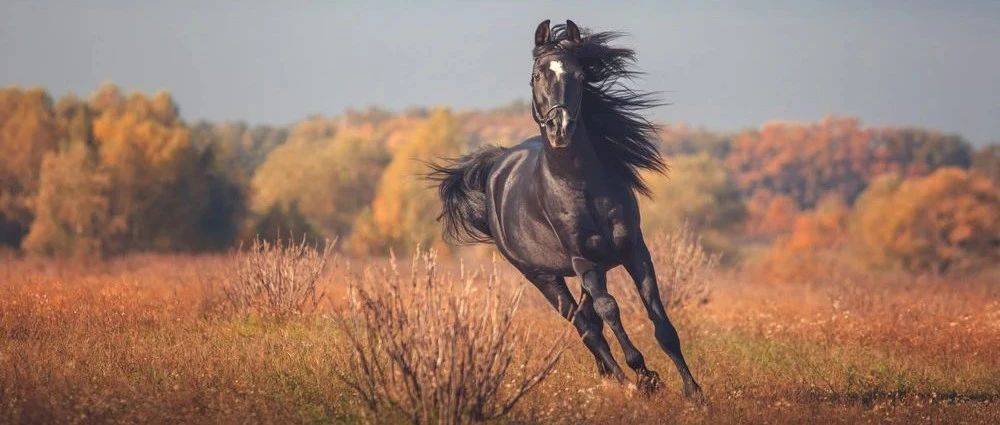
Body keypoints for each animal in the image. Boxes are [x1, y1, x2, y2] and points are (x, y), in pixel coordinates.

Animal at [430, 20, 704, 398]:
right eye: (536, 75)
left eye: (578, 74)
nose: (560, 129)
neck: (579, 184)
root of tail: (497, 165)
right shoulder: (583, 260)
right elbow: (610, 309)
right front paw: (646, 376)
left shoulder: (633, 250)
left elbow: (659, 317)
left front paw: (693, 391)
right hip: (543, 277)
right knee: (584, 325)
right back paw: (625, 382)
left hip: (590, 270)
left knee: (590, 320)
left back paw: (612, 375)